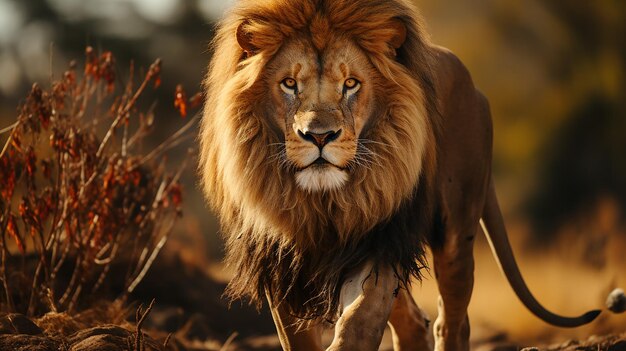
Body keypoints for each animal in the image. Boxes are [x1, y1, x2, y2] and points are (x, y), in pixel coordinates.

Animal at [197, 0, 604, 350]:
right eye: (289, 84)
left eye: (351, 84)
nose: (319, 136)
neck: (324, 201)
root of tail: (474, 86)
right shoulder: (277, 257)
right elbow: (296, 337)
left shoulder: (380, 238)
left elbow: (360, 319)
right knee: (412, 321)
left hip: (456, 232)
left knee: (452, 320)